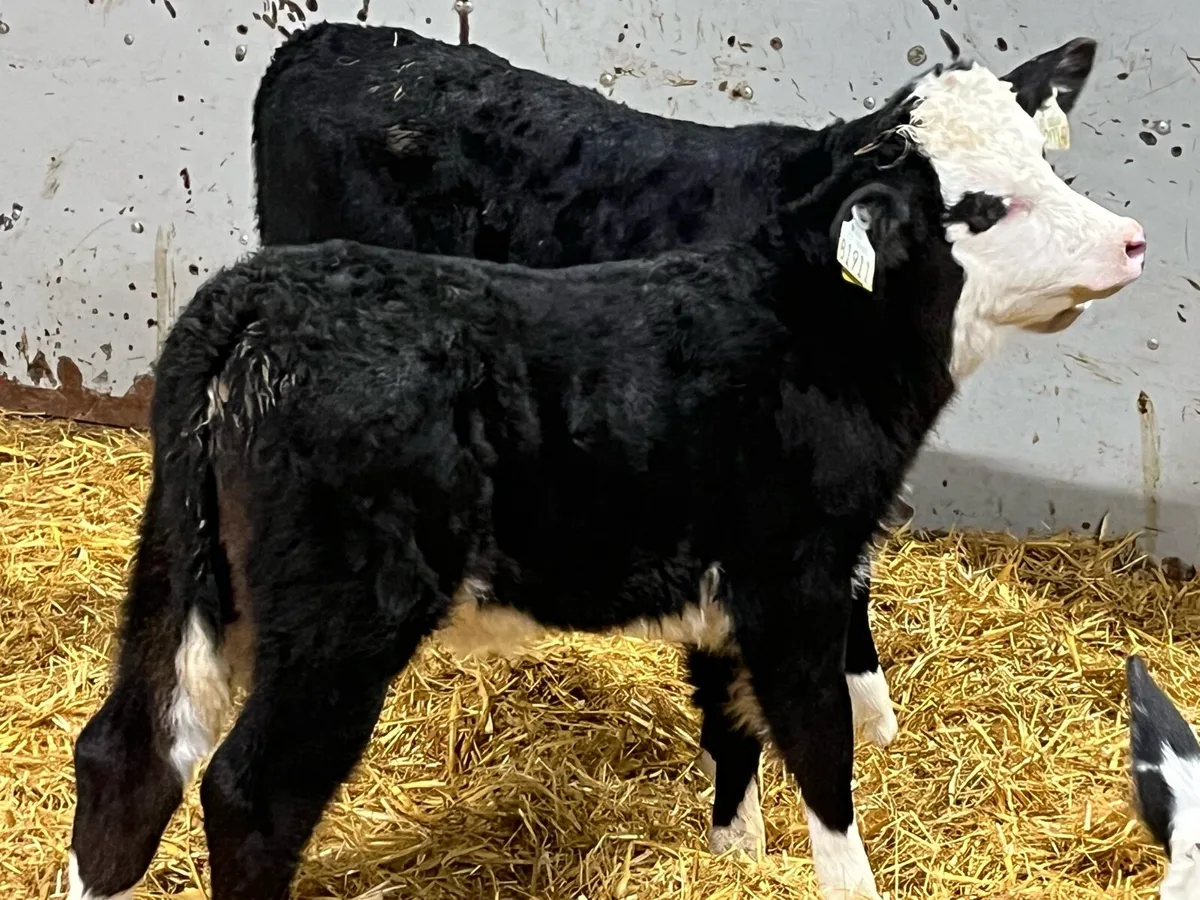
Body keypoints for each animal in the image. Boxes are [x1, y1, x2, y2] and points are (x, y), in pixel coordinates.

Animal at [69, 53, 1145, 900]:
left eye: (1043, 156)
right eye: (983, 207)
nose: (1131, 239)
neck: (803, 329)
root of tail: (257, 296)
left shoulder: (722, 588)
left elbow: (731, 723)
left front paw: (735, 856)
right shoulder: (794, 580)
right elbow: (820, 749)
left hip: (177, 571)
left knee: (127, 753)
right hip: (342, 617)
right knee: (249, 793)